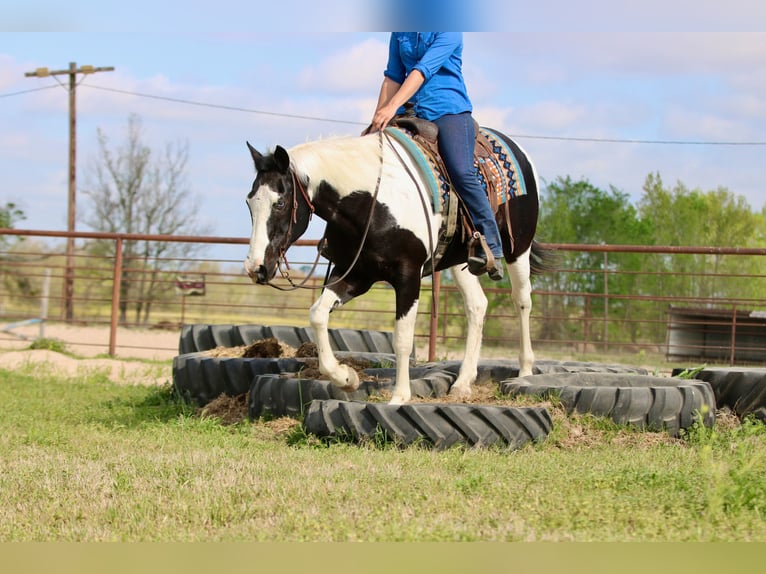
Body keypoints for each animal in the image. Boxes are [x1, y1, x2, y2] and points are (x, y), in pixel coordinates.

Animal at [244, 127, 551, 404]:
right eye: (249, 202)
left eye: (280, 202)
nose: (255, 267)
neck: (373, 201)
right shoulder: (355, 274)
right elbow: (318, 314)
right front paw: (346, 377)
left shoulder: (408, 277)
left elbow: (402, 338)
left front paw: (400, 396)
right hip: (462, 261)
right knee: (477, 306)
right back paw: (463, 382)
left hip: (518, 249)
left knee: (522, 301)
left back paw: (524, 372)